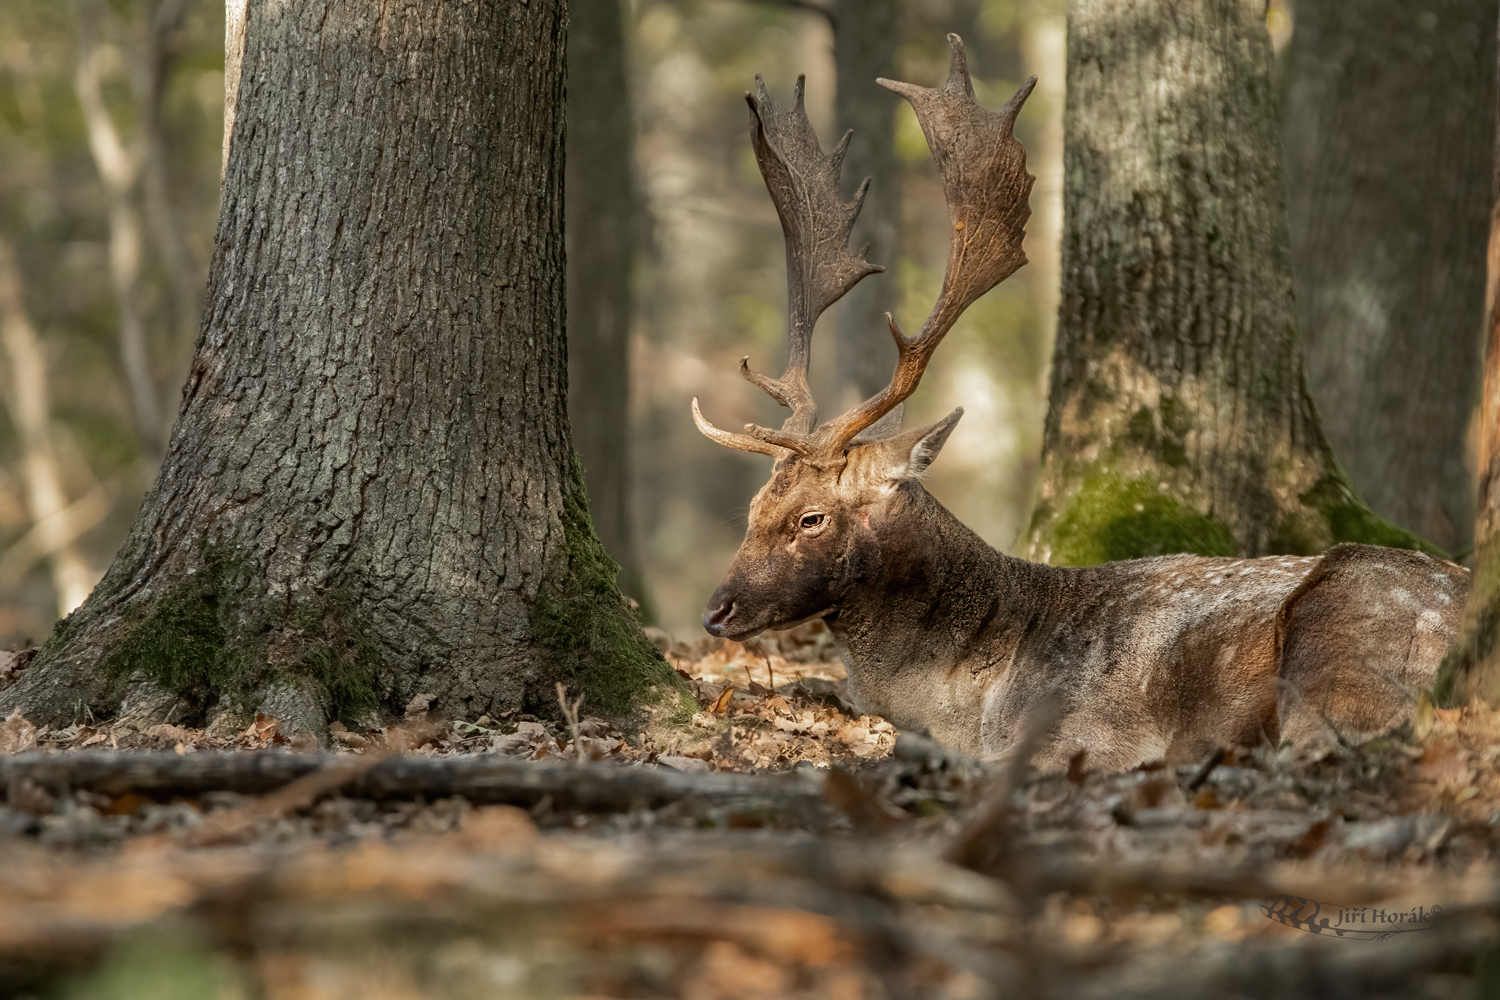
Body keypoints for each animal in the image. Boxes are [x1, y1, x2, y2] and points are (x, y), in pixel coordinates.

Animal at [690, 35, 1464, 773]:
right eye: (753, 508)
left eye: (811, 518)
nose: (715, 609)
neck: (965, 694)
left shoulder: (1086, 730)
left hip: (1343, 630)